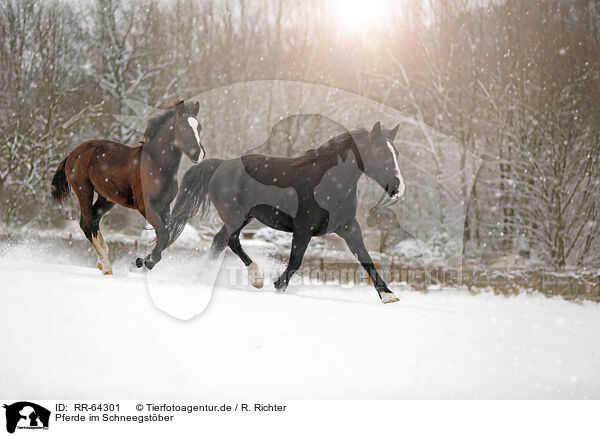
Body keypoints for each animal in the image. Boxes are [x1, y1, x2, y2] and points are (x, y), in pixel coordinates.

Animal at [50, 100, 204, 274]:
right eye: (183, 127)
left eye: (199, 128)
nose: (199, 154)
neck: (157, 165)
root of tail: (72, 153)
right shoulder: (145, 206)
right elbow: (163, 234)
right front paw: (144, 262)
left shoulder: (165, 207)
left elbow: (165, 236)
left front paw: (143, 261)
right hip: (84, 191)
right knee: (87, 224)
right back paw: (106, 266)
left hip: (106, 198)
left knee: (93, 222)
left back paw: (103, 262)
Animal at [166, 120, 406, 304]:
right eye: (380, 152)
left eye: (396, 153)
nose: (398, 187)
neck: (329, 183)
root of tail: (220, 165)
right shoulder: (303, 228)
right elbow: (295, 261)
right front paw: (278, 285)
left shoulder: (348, 227)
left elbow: (366, 258)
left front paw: (388, 295)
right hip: (235, 216)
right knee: (232, 242)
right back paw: (256, 277)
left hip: (243, 218)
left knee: (219, 241)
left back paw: (199, 275)